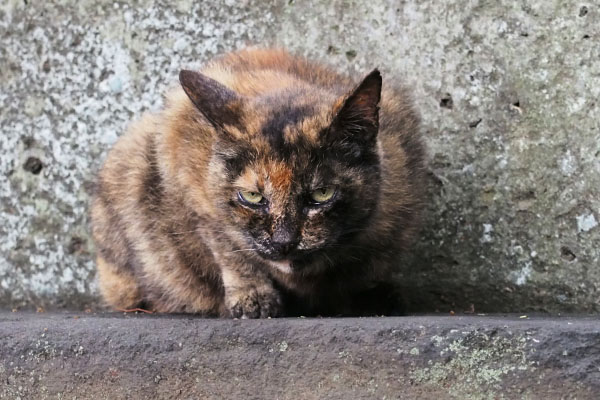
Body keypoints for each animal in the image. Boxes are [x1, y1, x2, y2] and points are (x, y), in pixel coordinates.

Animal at [90, 48, 426, 318]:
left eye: (322, 193)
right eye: (252, 197)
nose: (284, 242)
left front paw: (367, 295)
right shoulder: (187, 174)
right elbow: (227, 245)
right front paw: (253, 297)